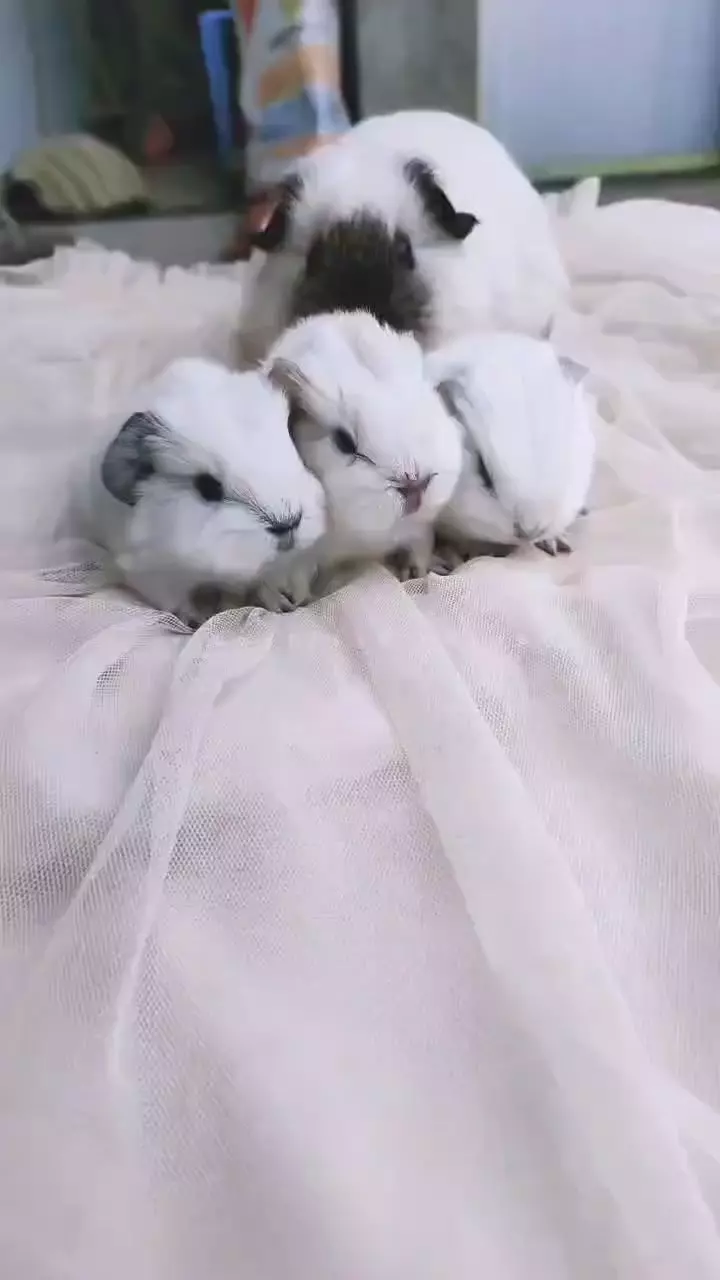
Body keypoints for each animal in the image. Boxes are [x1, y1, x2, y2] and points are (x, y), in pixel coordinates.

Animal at [89, 357, 327, 623]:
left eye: (291, 447)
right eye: (207, 486)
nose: (288, 524)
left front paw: (284, 603)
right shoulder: (154, 575)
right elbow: (178, 602)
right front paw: (199, 619)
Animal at [262, 310, 463, 603]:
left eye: (431, 408)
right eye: (343, 442)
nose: (415, 486)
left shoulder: (418, 531)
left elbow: (419, 551)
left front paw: (417, 573)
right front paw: (296, 601)